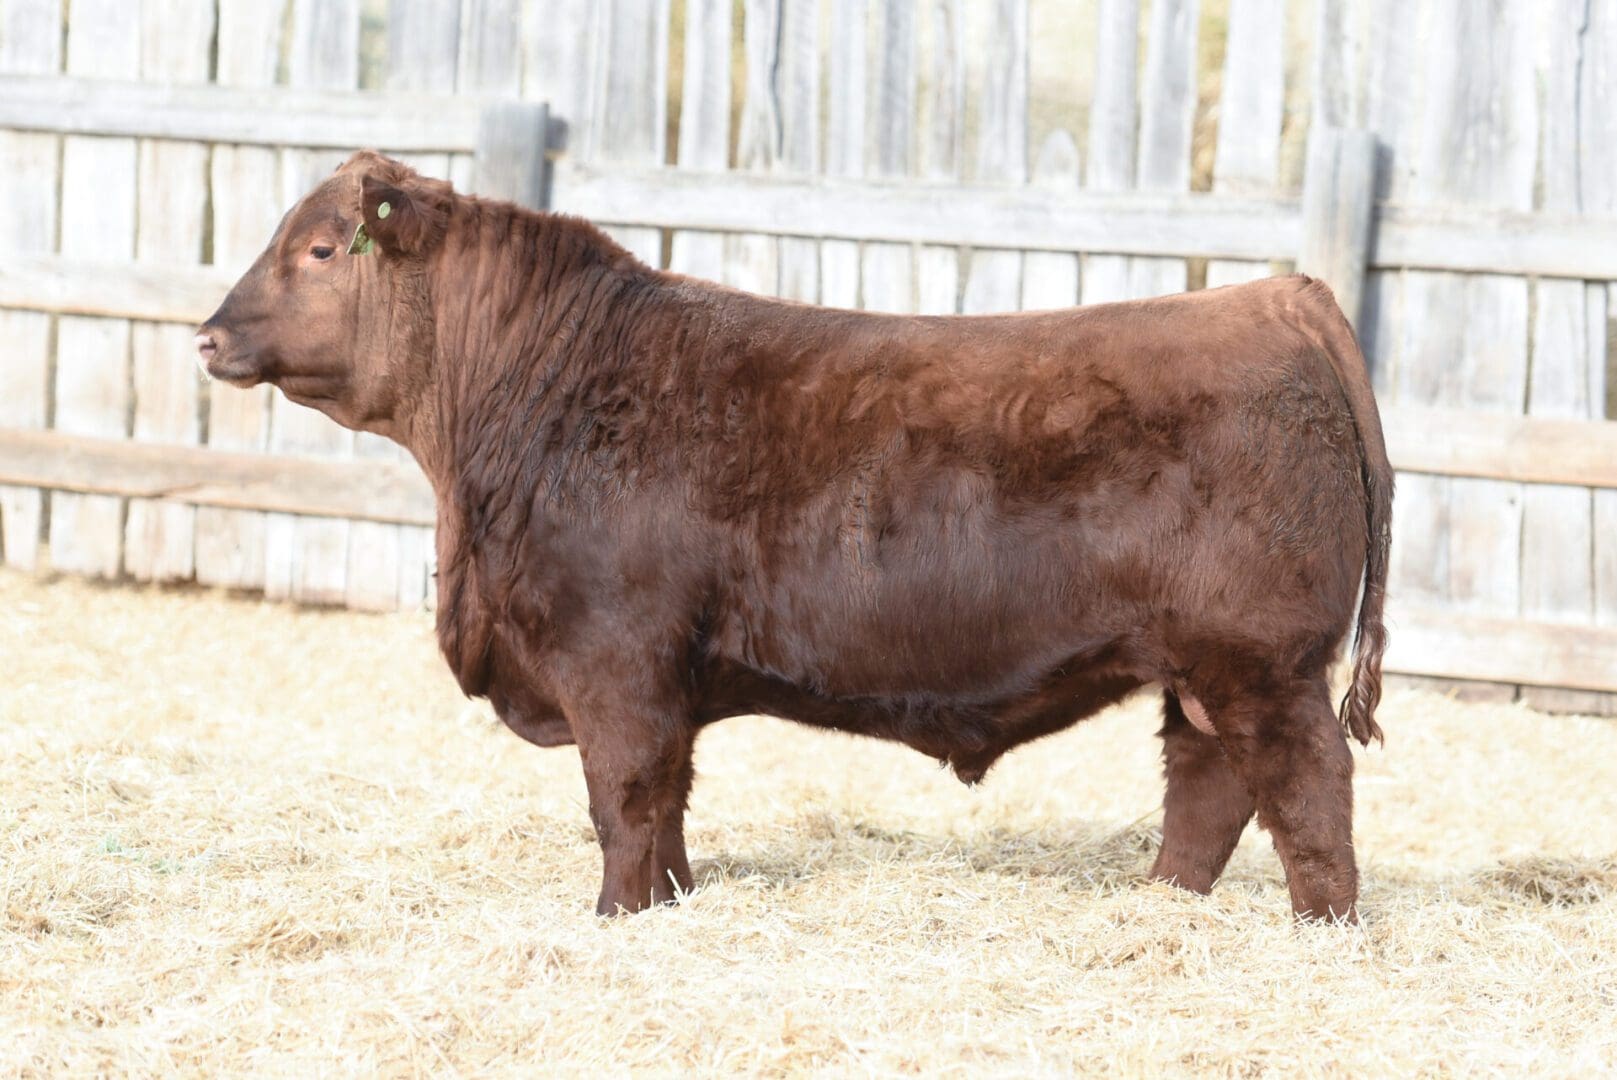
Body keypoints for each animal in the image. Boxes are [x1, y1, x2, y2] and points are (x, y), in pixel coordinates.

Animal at [196, 151, 1392, 922]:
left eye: (318, 249)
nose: (207, 335)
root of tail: (1280, 297)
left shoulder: (613, 662)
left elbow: (623, 798)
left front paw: (616, 916)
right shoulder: (661, 680)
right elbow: (669, 804)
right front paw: (670, 902)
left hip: (1261, 661)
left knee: (1306, 788)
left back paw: (1322, 925)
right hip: (1204, 670)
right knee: (1209, 789)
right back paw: (1162, 904)